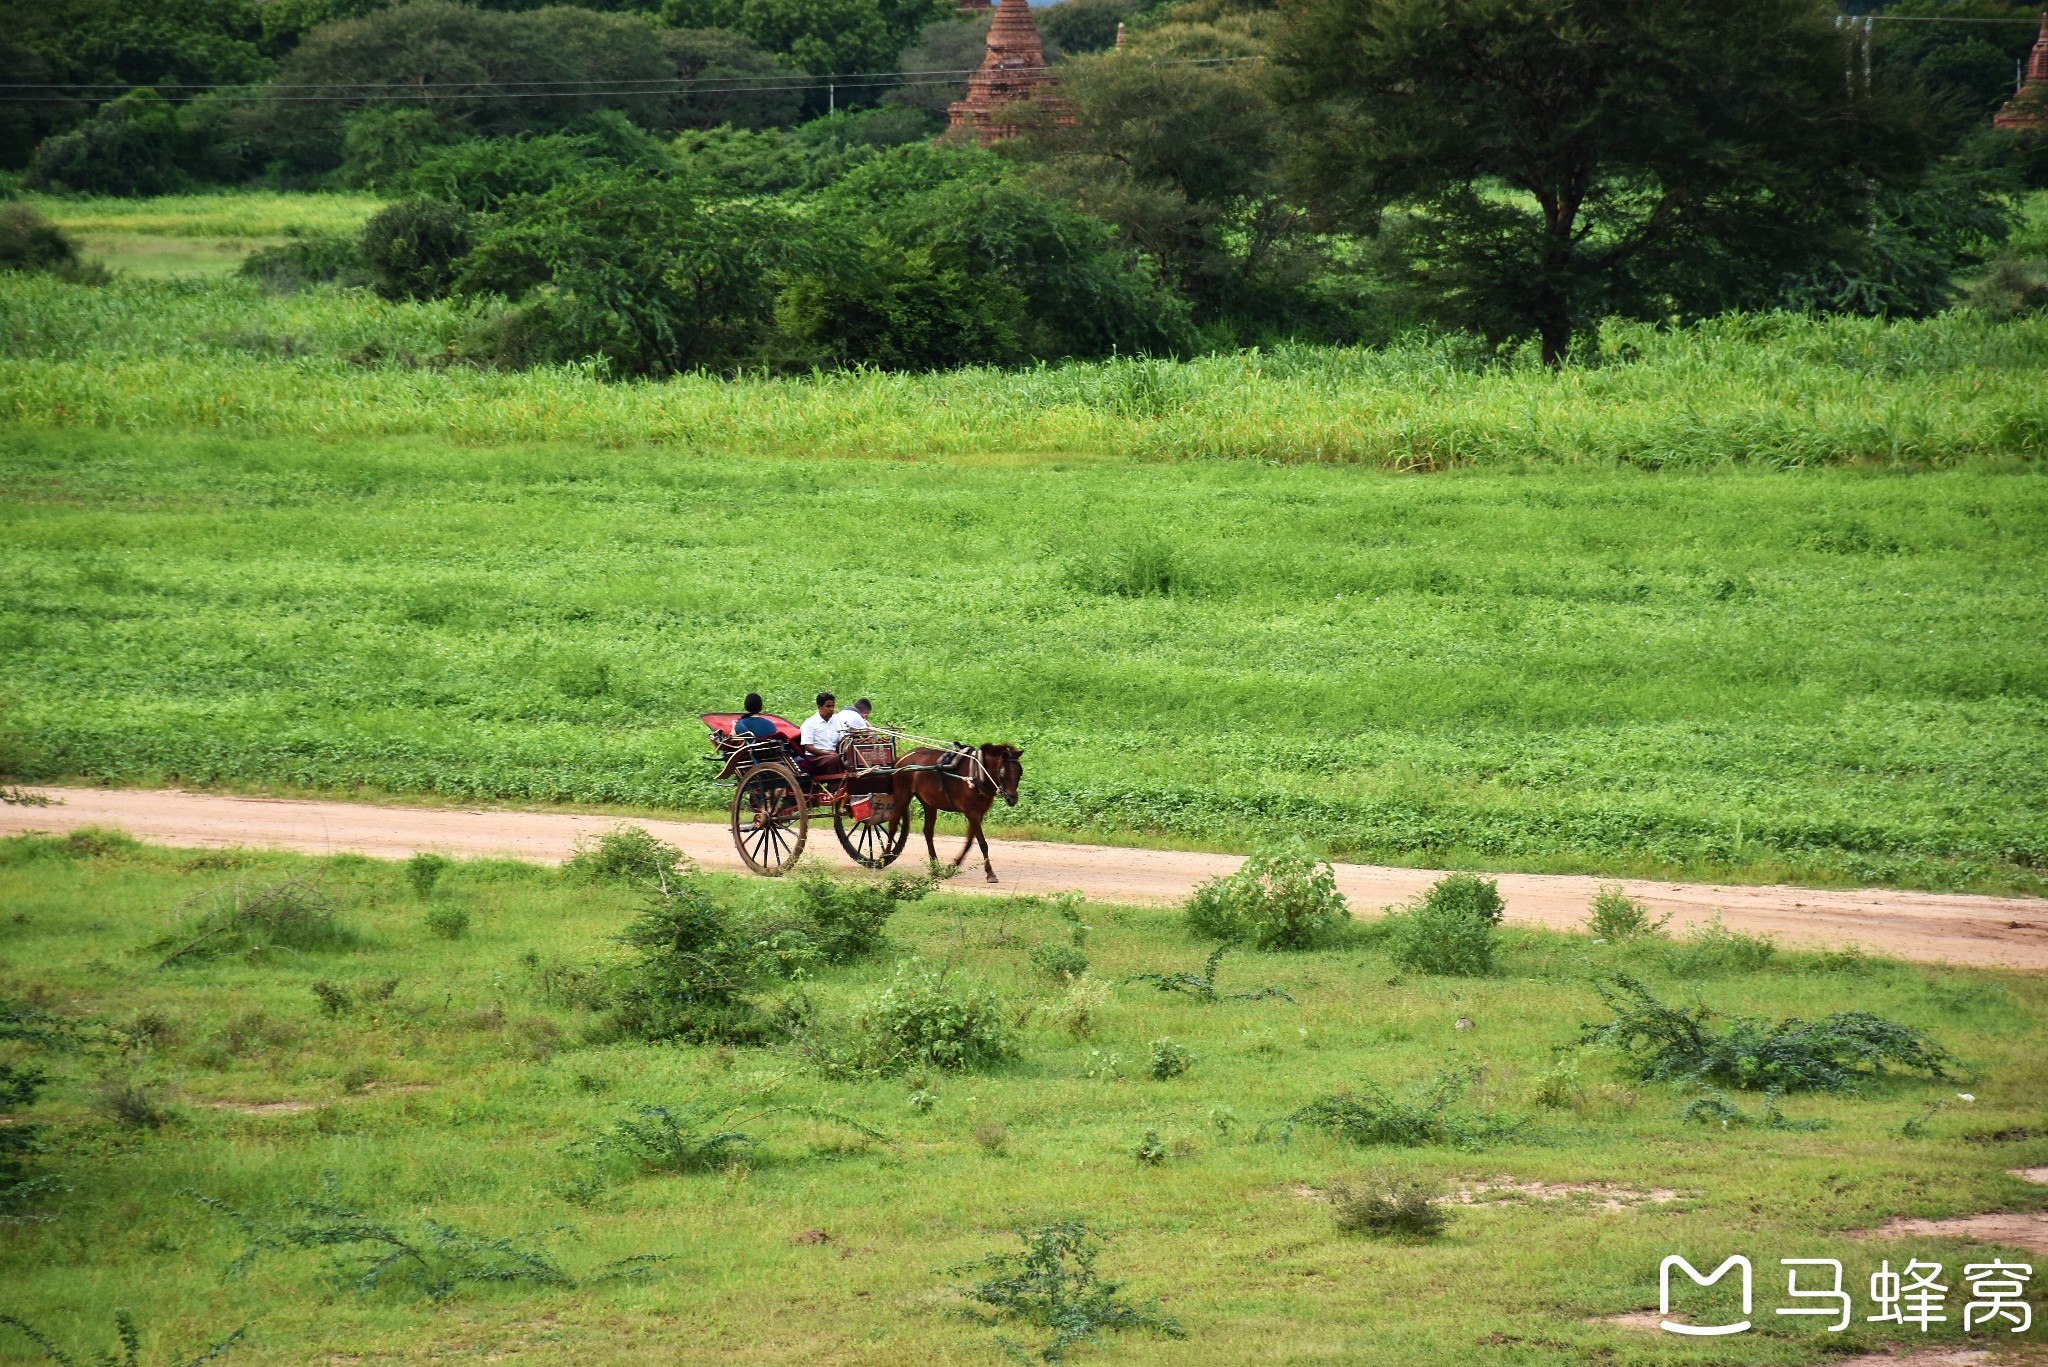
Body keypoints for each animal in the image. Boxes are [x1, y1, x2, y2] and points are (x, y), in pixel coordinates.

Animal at [892, 741, 1024, 881]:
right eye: (1003, 773)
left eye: (1019, 772)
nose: (1012, 799)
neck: (977, 773)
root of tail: (902, 758)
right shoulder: (972, 813)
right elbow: (982, 843)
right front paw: (990, 873)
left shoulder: (979, 814)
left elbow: (969, 842)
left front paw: (953, 866)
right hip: (902, 796)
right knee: (893, 825)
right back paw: (885, 858)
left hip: (928, 802)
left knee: (928, 831)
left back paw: (935, 866)